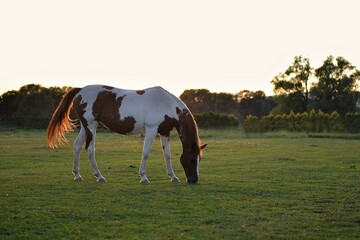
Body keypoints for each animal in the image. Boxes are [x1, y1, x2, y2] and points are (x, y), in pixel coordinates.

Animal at [46, 85, 207, 185]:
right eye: (193, 159)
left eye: (199, 159)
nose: (194, 180)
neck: (166, 104)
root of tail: (80, 91)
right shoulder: (151, 129)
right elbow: (146, 153)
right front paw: (143, 177)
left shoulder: (164, 132)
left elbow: (167, 155)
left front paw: (173, 177)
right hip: (91, 126)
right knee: (90, 149)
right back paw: (100, 177)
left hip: (85, 127)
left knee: (77, 146)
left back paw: (77, 175)